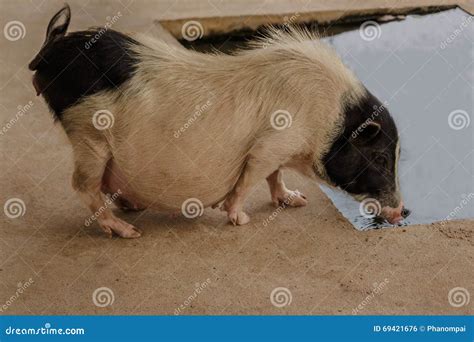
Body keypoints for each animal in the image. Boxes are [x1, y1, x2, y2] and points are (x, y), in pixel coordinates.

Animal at [27, 5, 410, 239]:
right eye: (380, 158)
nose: (403, 211)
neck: (326, 119)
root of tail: (50, 53)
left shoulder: (279, 151)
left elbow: (275, 177)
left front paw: (296, 200)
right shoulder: (269, 144)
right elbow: (250, 179)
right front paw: (241, 220)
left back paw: (133, 208)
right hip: (88, 137)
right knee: (83, 186)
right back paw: (127, 231)